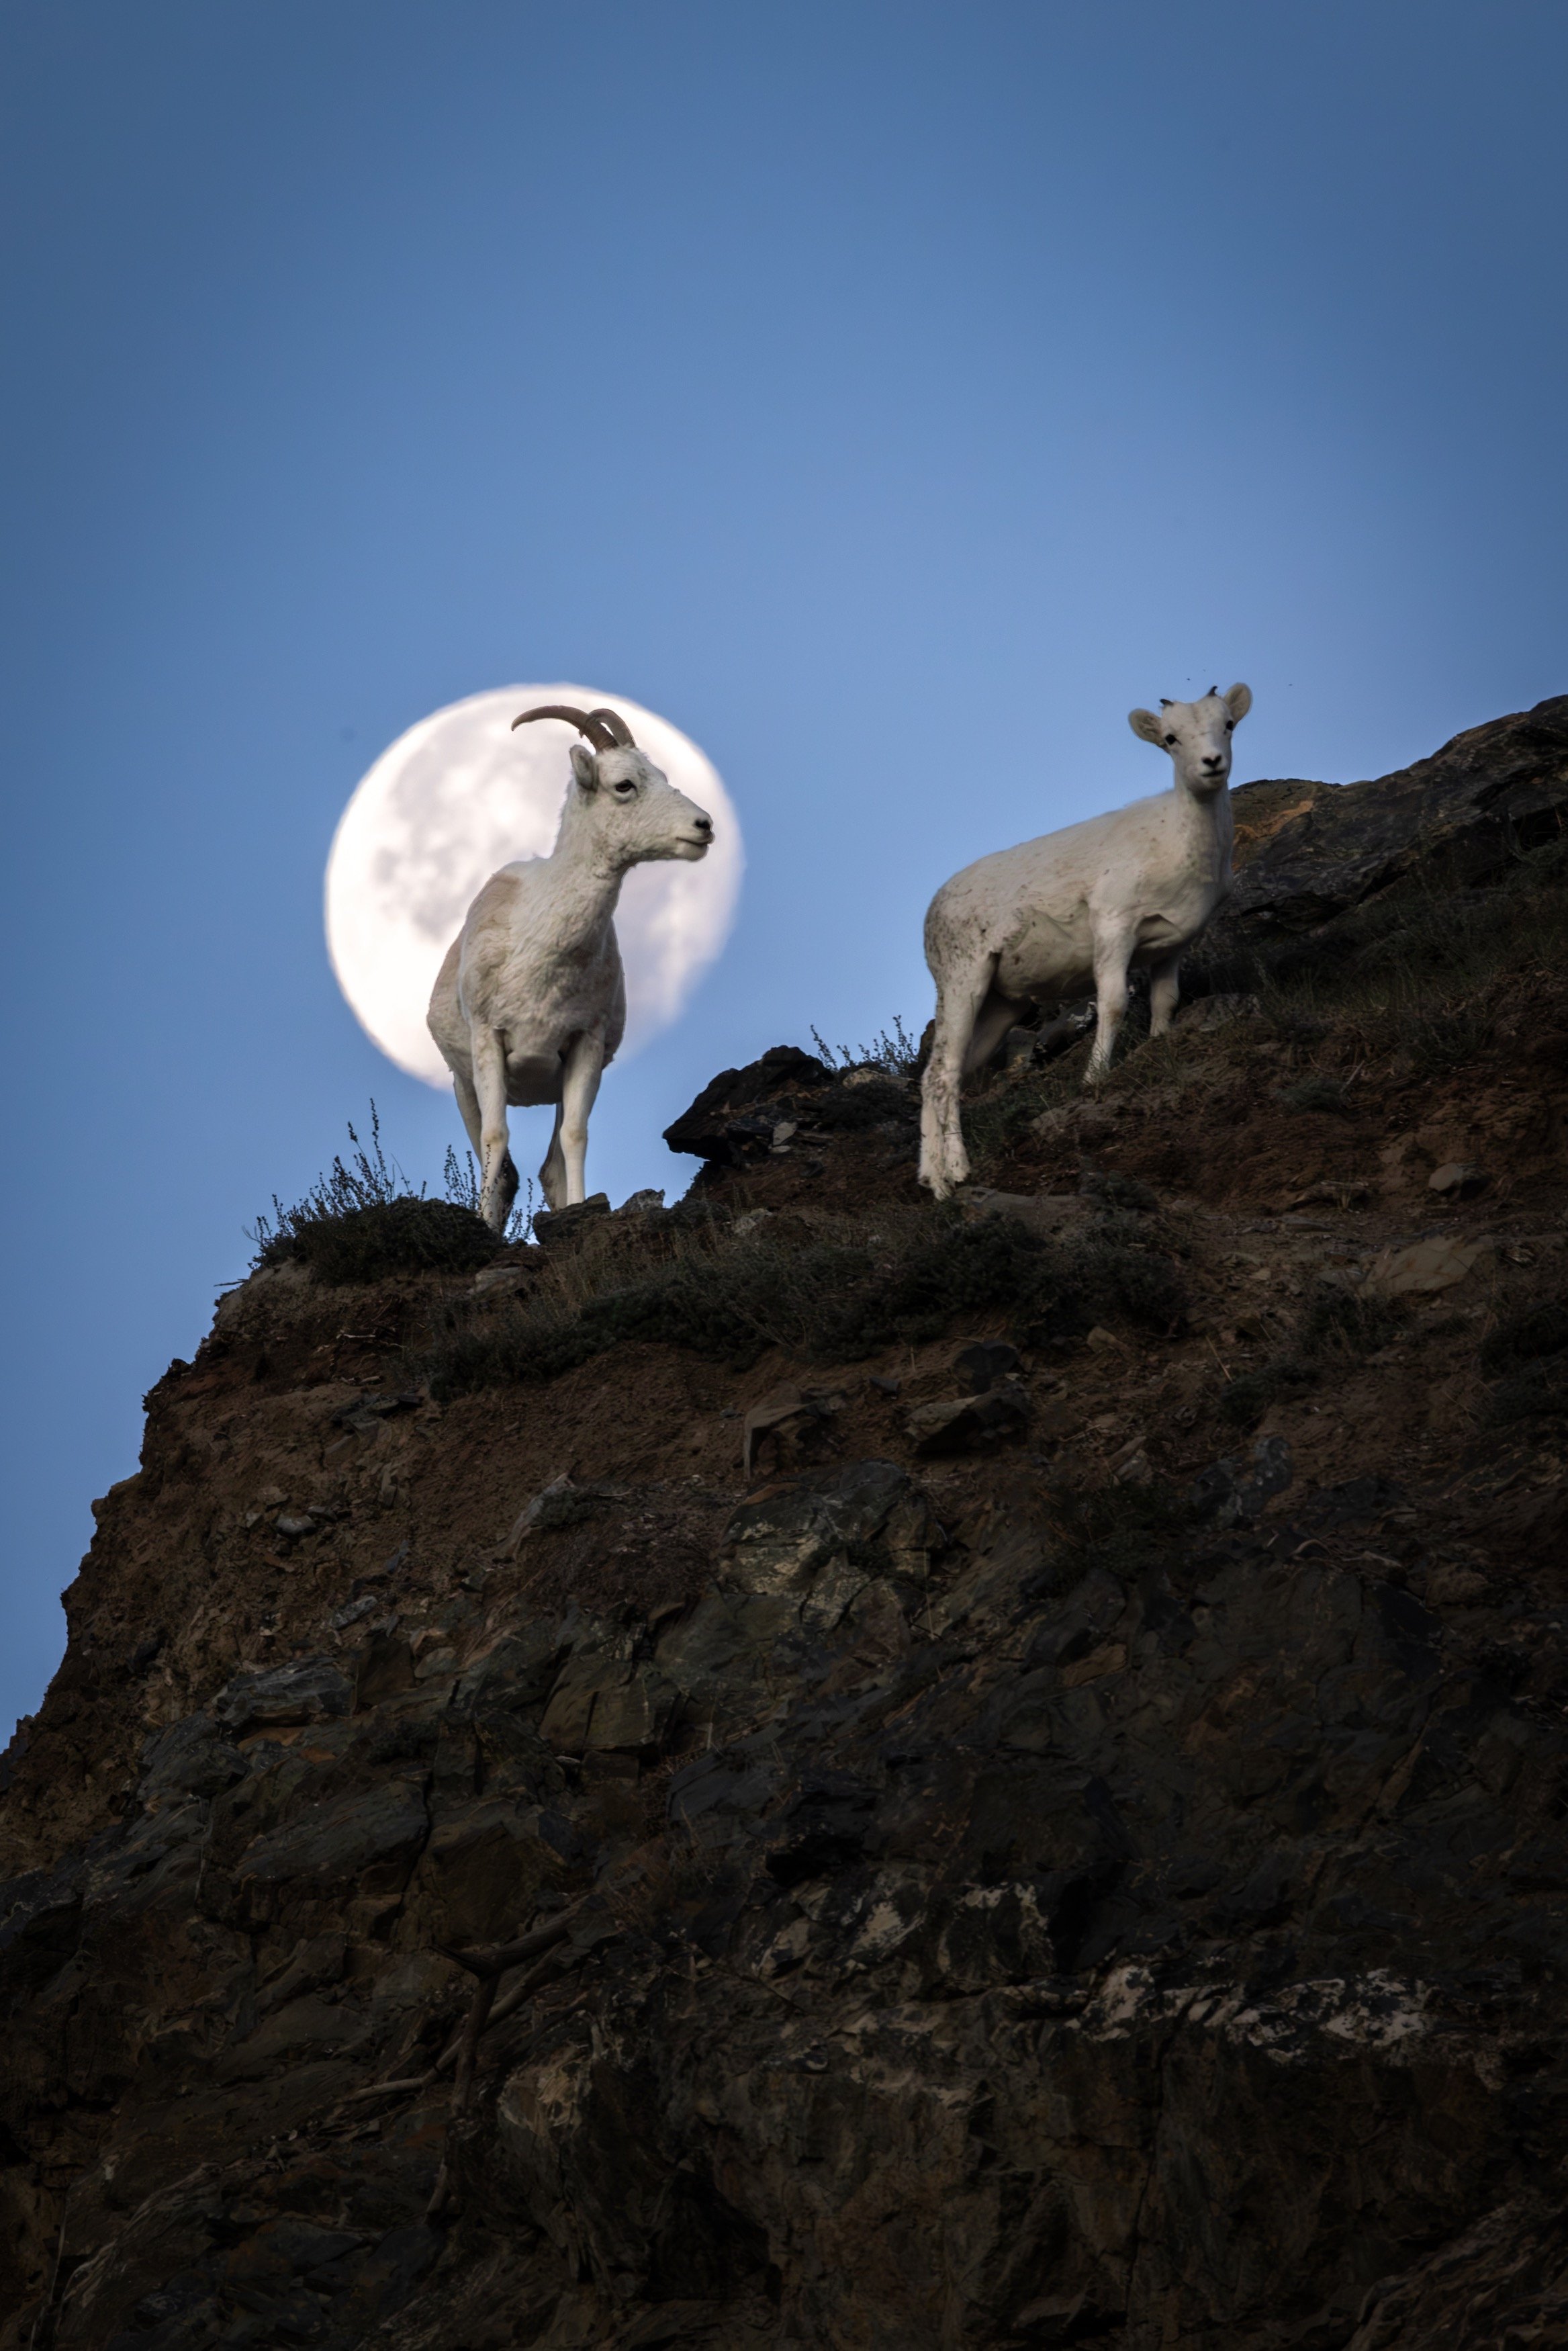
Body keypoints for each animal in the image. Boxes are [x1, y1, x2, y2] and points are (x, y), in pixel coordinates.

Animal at [428, 704, 714, 1229]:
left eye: (662, 777)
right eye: (624, 785)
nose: (703, 826)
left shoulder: (584, 1047)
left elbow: (573, 1141)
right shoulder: (488, 1043)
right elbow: (496, 1139)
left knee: (548, 1167)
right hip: (464, 1088)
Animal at [918, 684, 1253, 1198]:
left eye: (1228, 725)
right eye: (1171, 739)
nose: (1211, 763)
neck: (1180, 847)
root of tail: (932, 913)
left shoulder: (1171, 948)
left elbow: (1165, 1001)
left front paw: (1159, 1043)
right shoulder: (1114, 928)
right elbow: (1113, 1004)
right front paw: (1094, 1077)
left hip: (1001, 1005)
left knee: (937, 1075)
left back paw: (929, 1179)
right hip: (963, 981)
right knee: (944, 1075)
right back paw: (954, 1175)